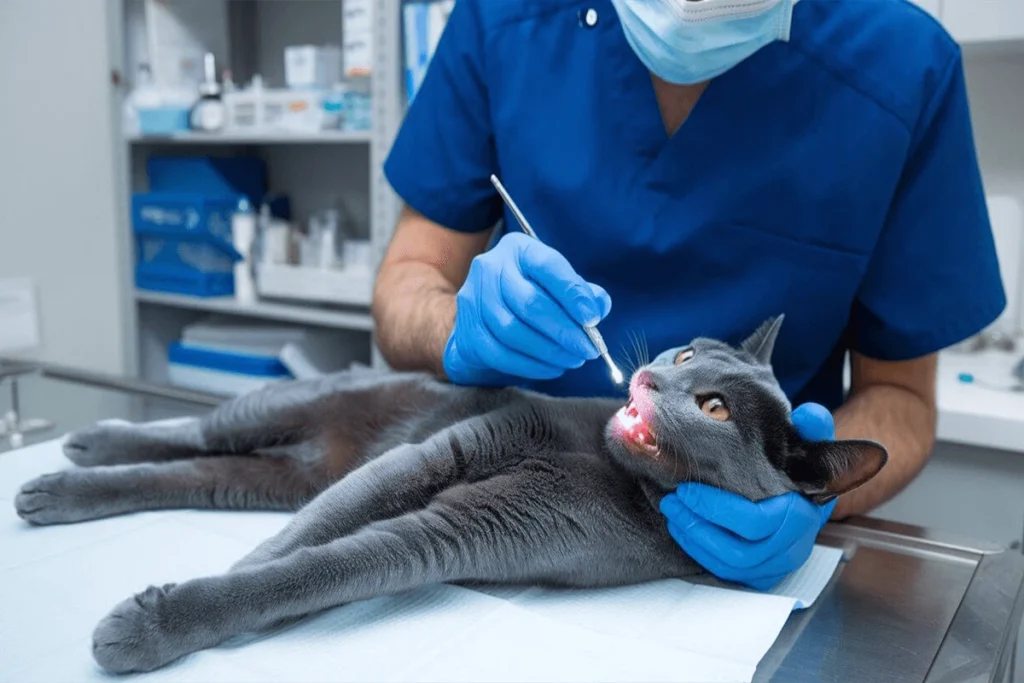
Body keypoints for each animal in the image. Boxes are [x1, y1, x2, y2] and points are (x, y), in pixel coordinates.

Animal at [12, 315, 884, 671]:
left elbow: (331, 560)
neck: (602, 463)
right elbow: (312, 536)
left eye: (713, 408)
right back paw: (74, 458)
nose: (645, 376)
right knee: (194, 432)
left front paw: (163, 615)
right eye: (683, 354)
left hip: (270, 475)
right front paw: (204, 588)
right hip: (283, 408)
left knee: (195, 470)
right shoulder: (455, 444)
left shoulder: (482, 528)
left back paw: (58, 487)